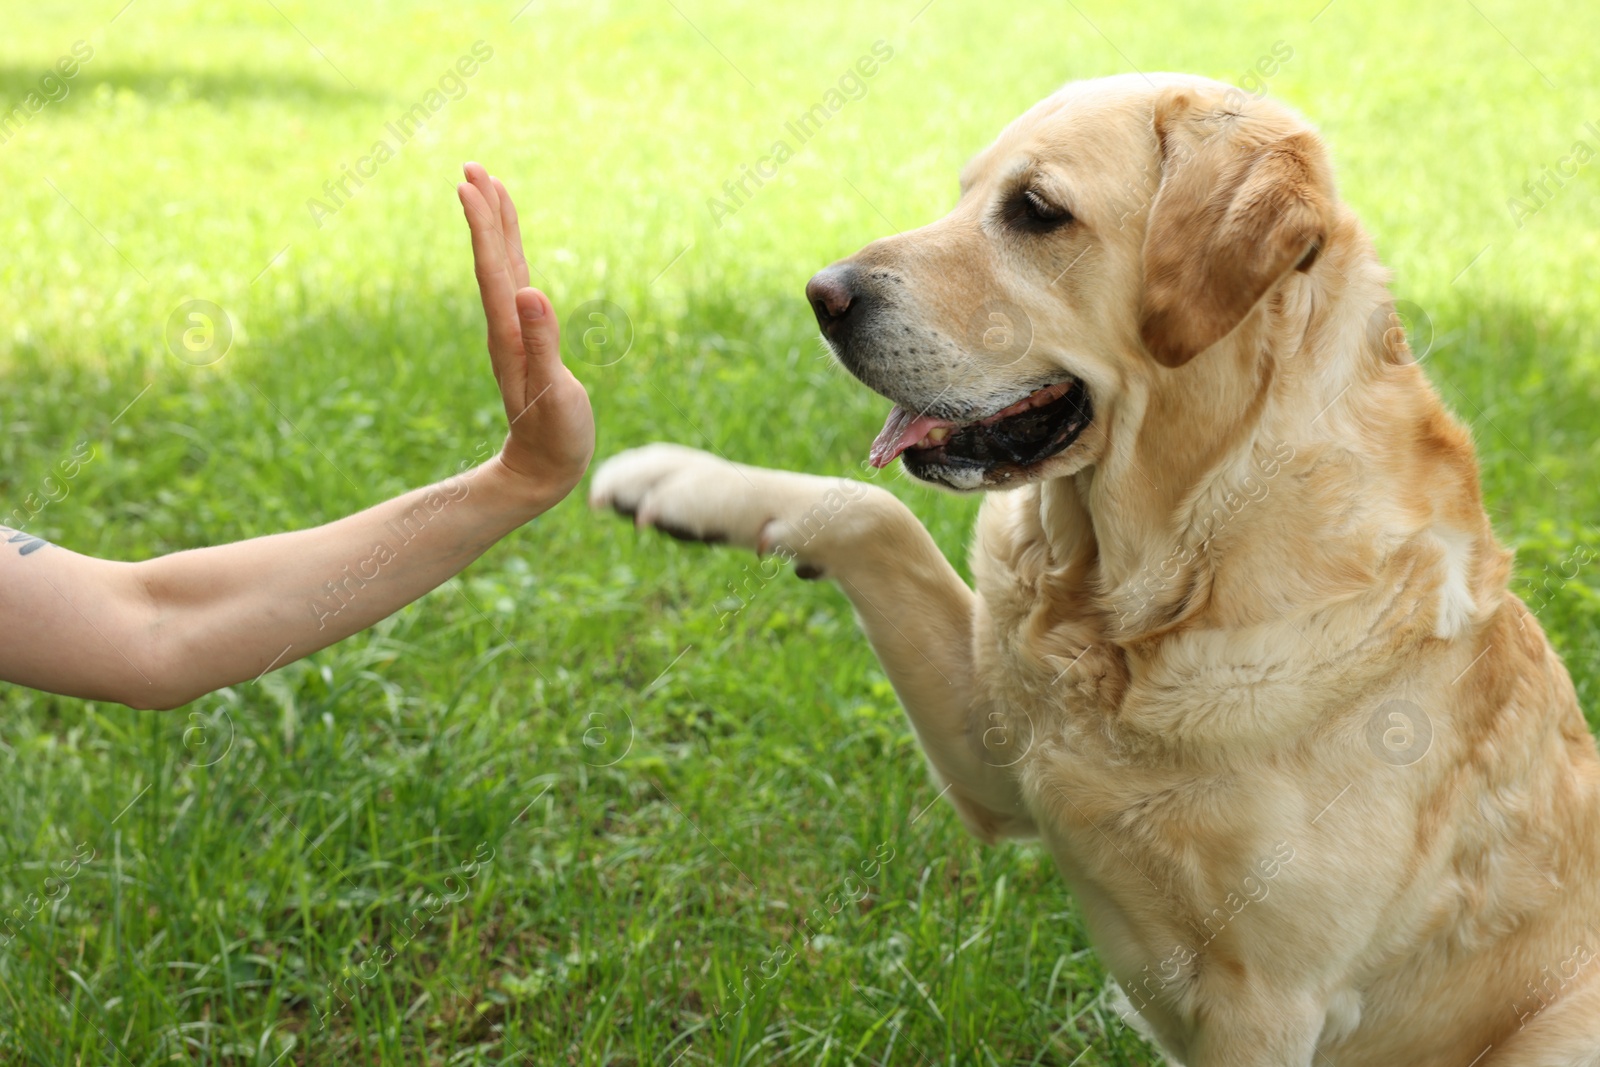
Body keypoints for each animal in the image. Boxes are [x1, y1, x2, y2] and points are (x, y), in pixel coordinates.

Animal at [588, 70, 1600, 1062]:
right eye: (964, 194)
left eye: (1036, 211)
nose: (820, 294)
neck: (1149, 585)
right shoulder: (993, 762)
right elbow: (872, 510)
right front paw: (674, 478)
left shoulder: (1269, 1001)